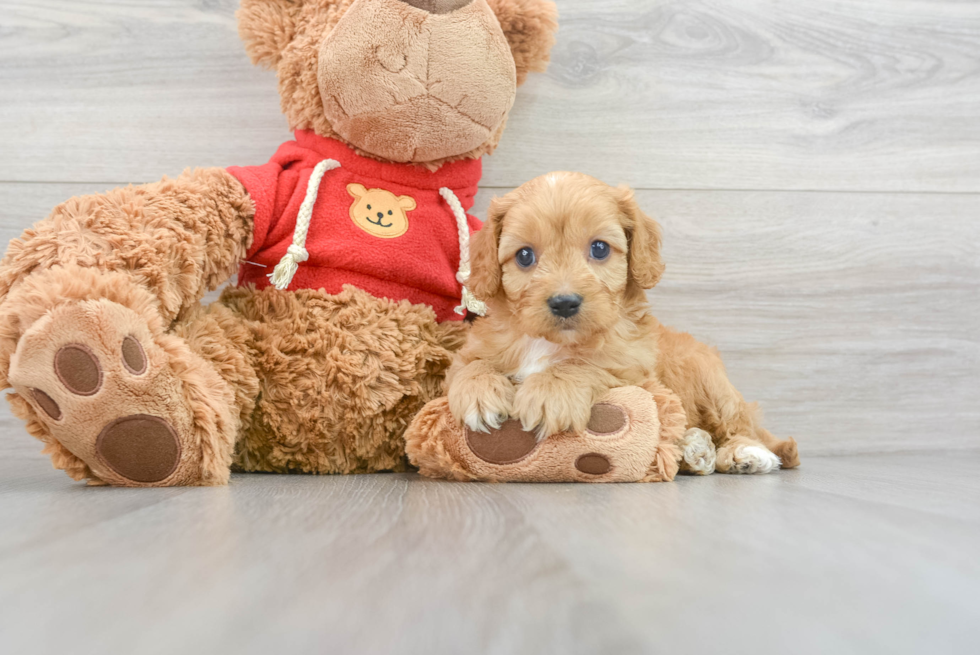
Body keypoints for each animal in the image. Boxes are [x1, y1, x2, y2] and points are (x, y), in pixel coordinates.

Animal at [448, 172, 800, 474]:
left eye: (599, 248)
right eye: (524, 256)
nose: (564, 302)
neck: (548, 343)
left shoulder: (631, 368)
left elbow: (586, 364)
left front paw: (551, 390)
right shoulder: (474, 349)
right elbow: (470, 365)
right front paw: (478, 391)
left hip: (709, 378)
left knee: (737, 424)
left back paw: (744, 453)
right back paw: (694, 448)